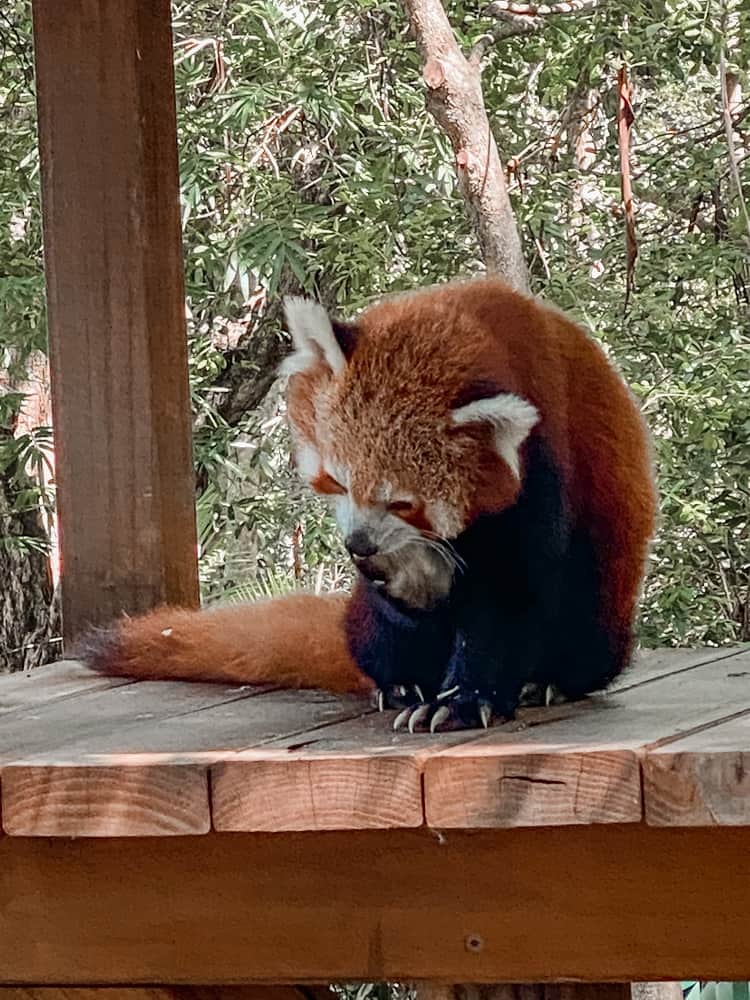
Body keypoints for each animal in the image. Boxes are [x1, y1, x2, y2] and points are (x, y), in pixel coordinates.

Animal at [73, 282, 656, 736]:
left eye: (402, 502)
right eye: (337, 480)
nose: (358, 544)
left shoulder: (543, 470)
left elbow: (509, 596)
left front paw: (466, 700)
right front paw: (409, 594)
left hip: (599, 603)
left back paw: (544, 681)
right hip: (365, 625)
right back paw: (401, 683)